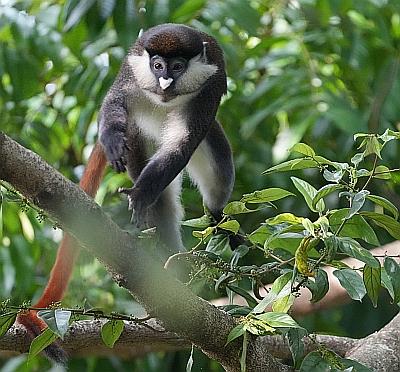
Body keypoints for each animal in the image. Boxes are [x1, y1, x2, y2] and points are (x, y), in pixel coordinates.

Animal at [18, 24, 234, 364]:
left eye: (177, 67)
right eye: (157, 66)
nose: (164, 81)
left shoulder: (208, 91)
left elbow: (181, 146)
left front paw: (142, 194)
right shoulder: (131, 73)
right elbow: (112, 102)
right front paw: (110, 139)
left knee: (219, 173)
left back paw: (213, 221)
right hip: (138, 133)